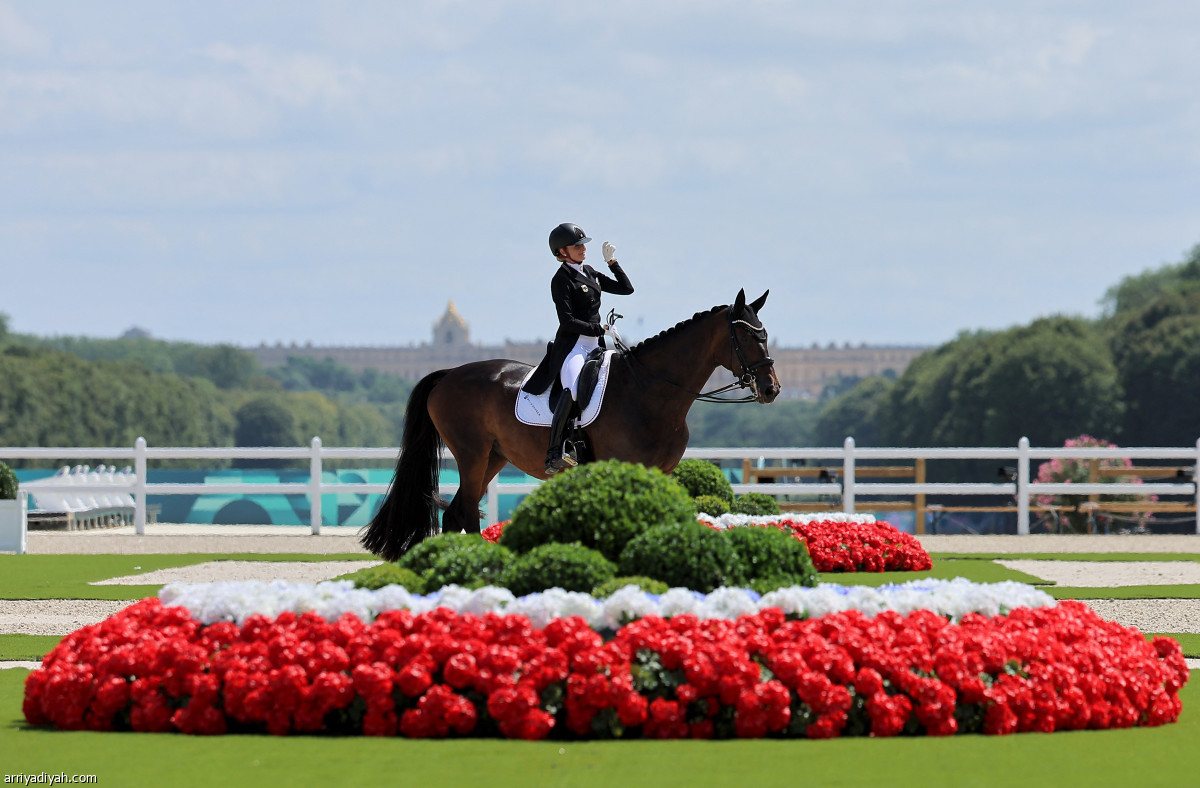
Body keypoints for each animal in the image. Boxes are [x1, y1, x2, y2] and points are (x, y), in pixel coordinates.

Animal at [360, 289, 782, 558]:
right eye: (746, 336)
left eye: (765, 334)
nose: (771, 388)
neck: (650, 390)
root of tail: (449, 374)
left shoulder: (659, 472)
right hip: (472, 453)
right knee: (462, 511)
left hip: (494, 457)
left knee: (457, 513)